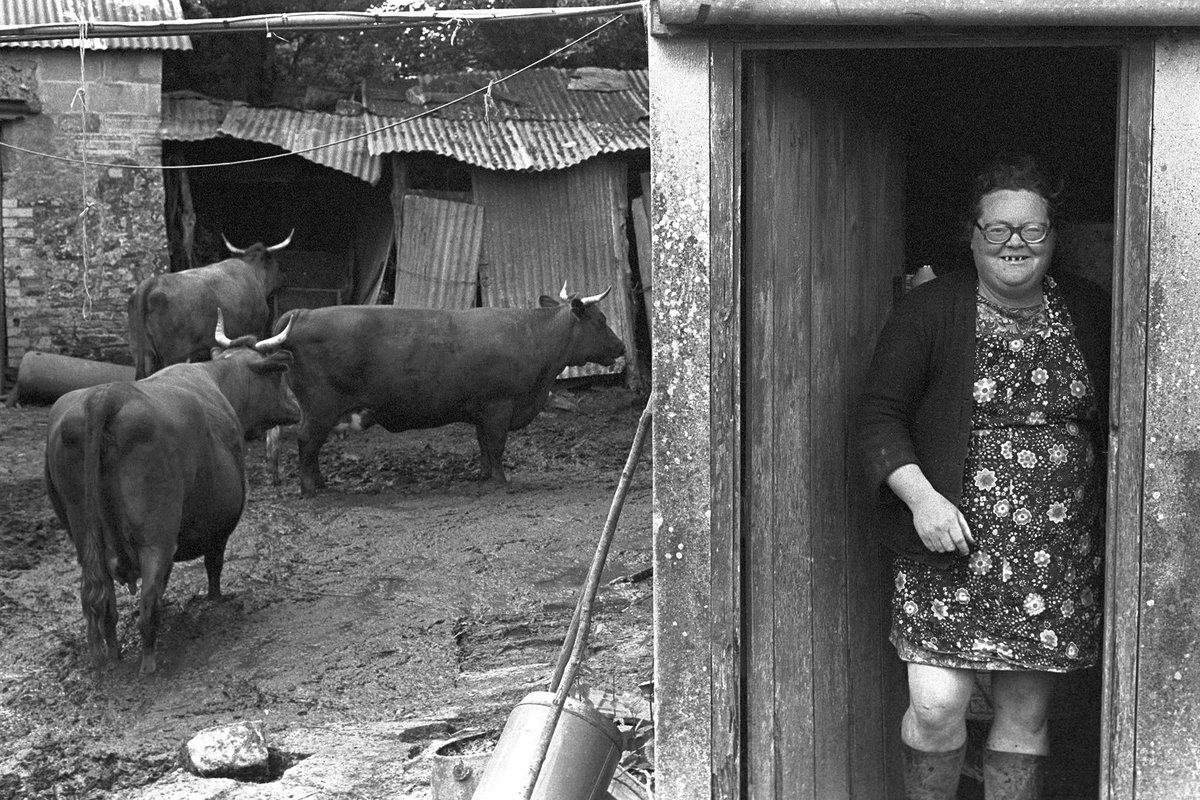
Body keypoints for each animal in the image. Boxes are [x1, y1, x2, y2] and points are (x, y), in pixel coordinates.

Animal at [44, 311, 301, 675]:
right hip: (156, 536)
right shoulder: (219, 525)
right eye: (280, 377)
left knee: (98, 598)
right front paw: (216, 601)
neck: (220, 381)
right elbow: (214, 565)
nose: (297, 406)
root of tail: (107, 394)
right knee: (148, 600)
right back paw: (150, 664)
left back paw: (107, 655)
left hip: (85, 537)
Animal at [127, 231, 293, 378]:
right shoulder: (257, 329)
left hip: (142, 351)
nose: (285, 277)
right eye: (278, 263)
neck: (254, 273)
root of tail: (150, 283)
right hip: (173, 354)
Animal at [273, 285, 626, 495]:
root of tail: (302, 313)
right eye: (601, 320)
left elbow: (484, 445)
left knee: (312, 446)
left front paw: (484, 476)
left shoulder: (484, 410)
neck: (532, 336)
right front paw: (501, 480)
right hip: (321, 407)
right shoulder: (500, 406)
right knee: (306, 442)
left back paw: (321, 483)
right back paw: (311, 488)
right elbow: (496, 446)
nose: (621, 346)